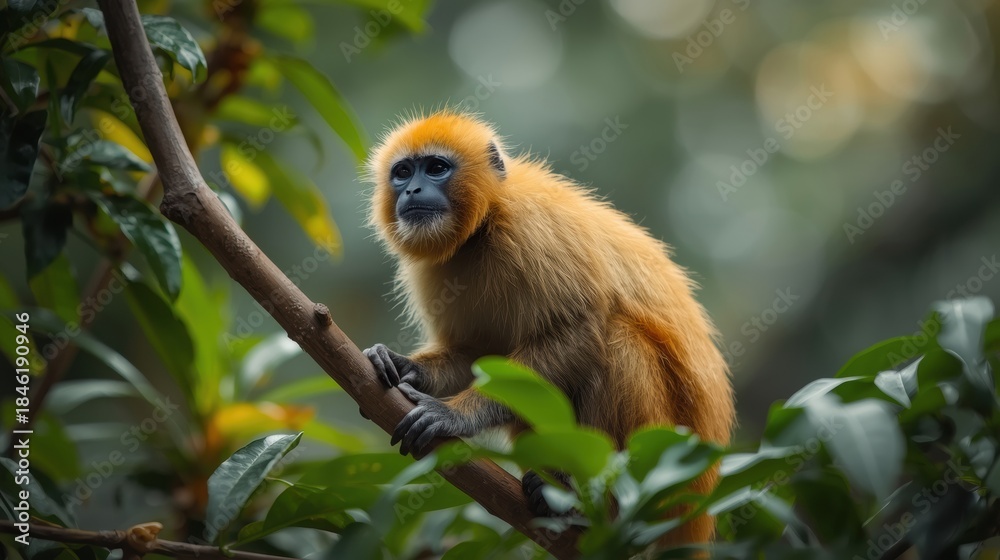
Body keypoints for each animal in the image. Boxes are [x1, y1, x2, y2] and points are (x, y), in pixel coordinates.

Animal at [362, 110, 735, 546]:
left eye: (437, 168)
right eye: (403, 172)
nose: (413, 190)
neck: (482, 230)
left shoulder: (534, 228)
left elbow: (578, 333)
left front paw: (453, 415)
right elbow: (477, 354)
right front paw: (404, 366)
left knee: (618, 340)